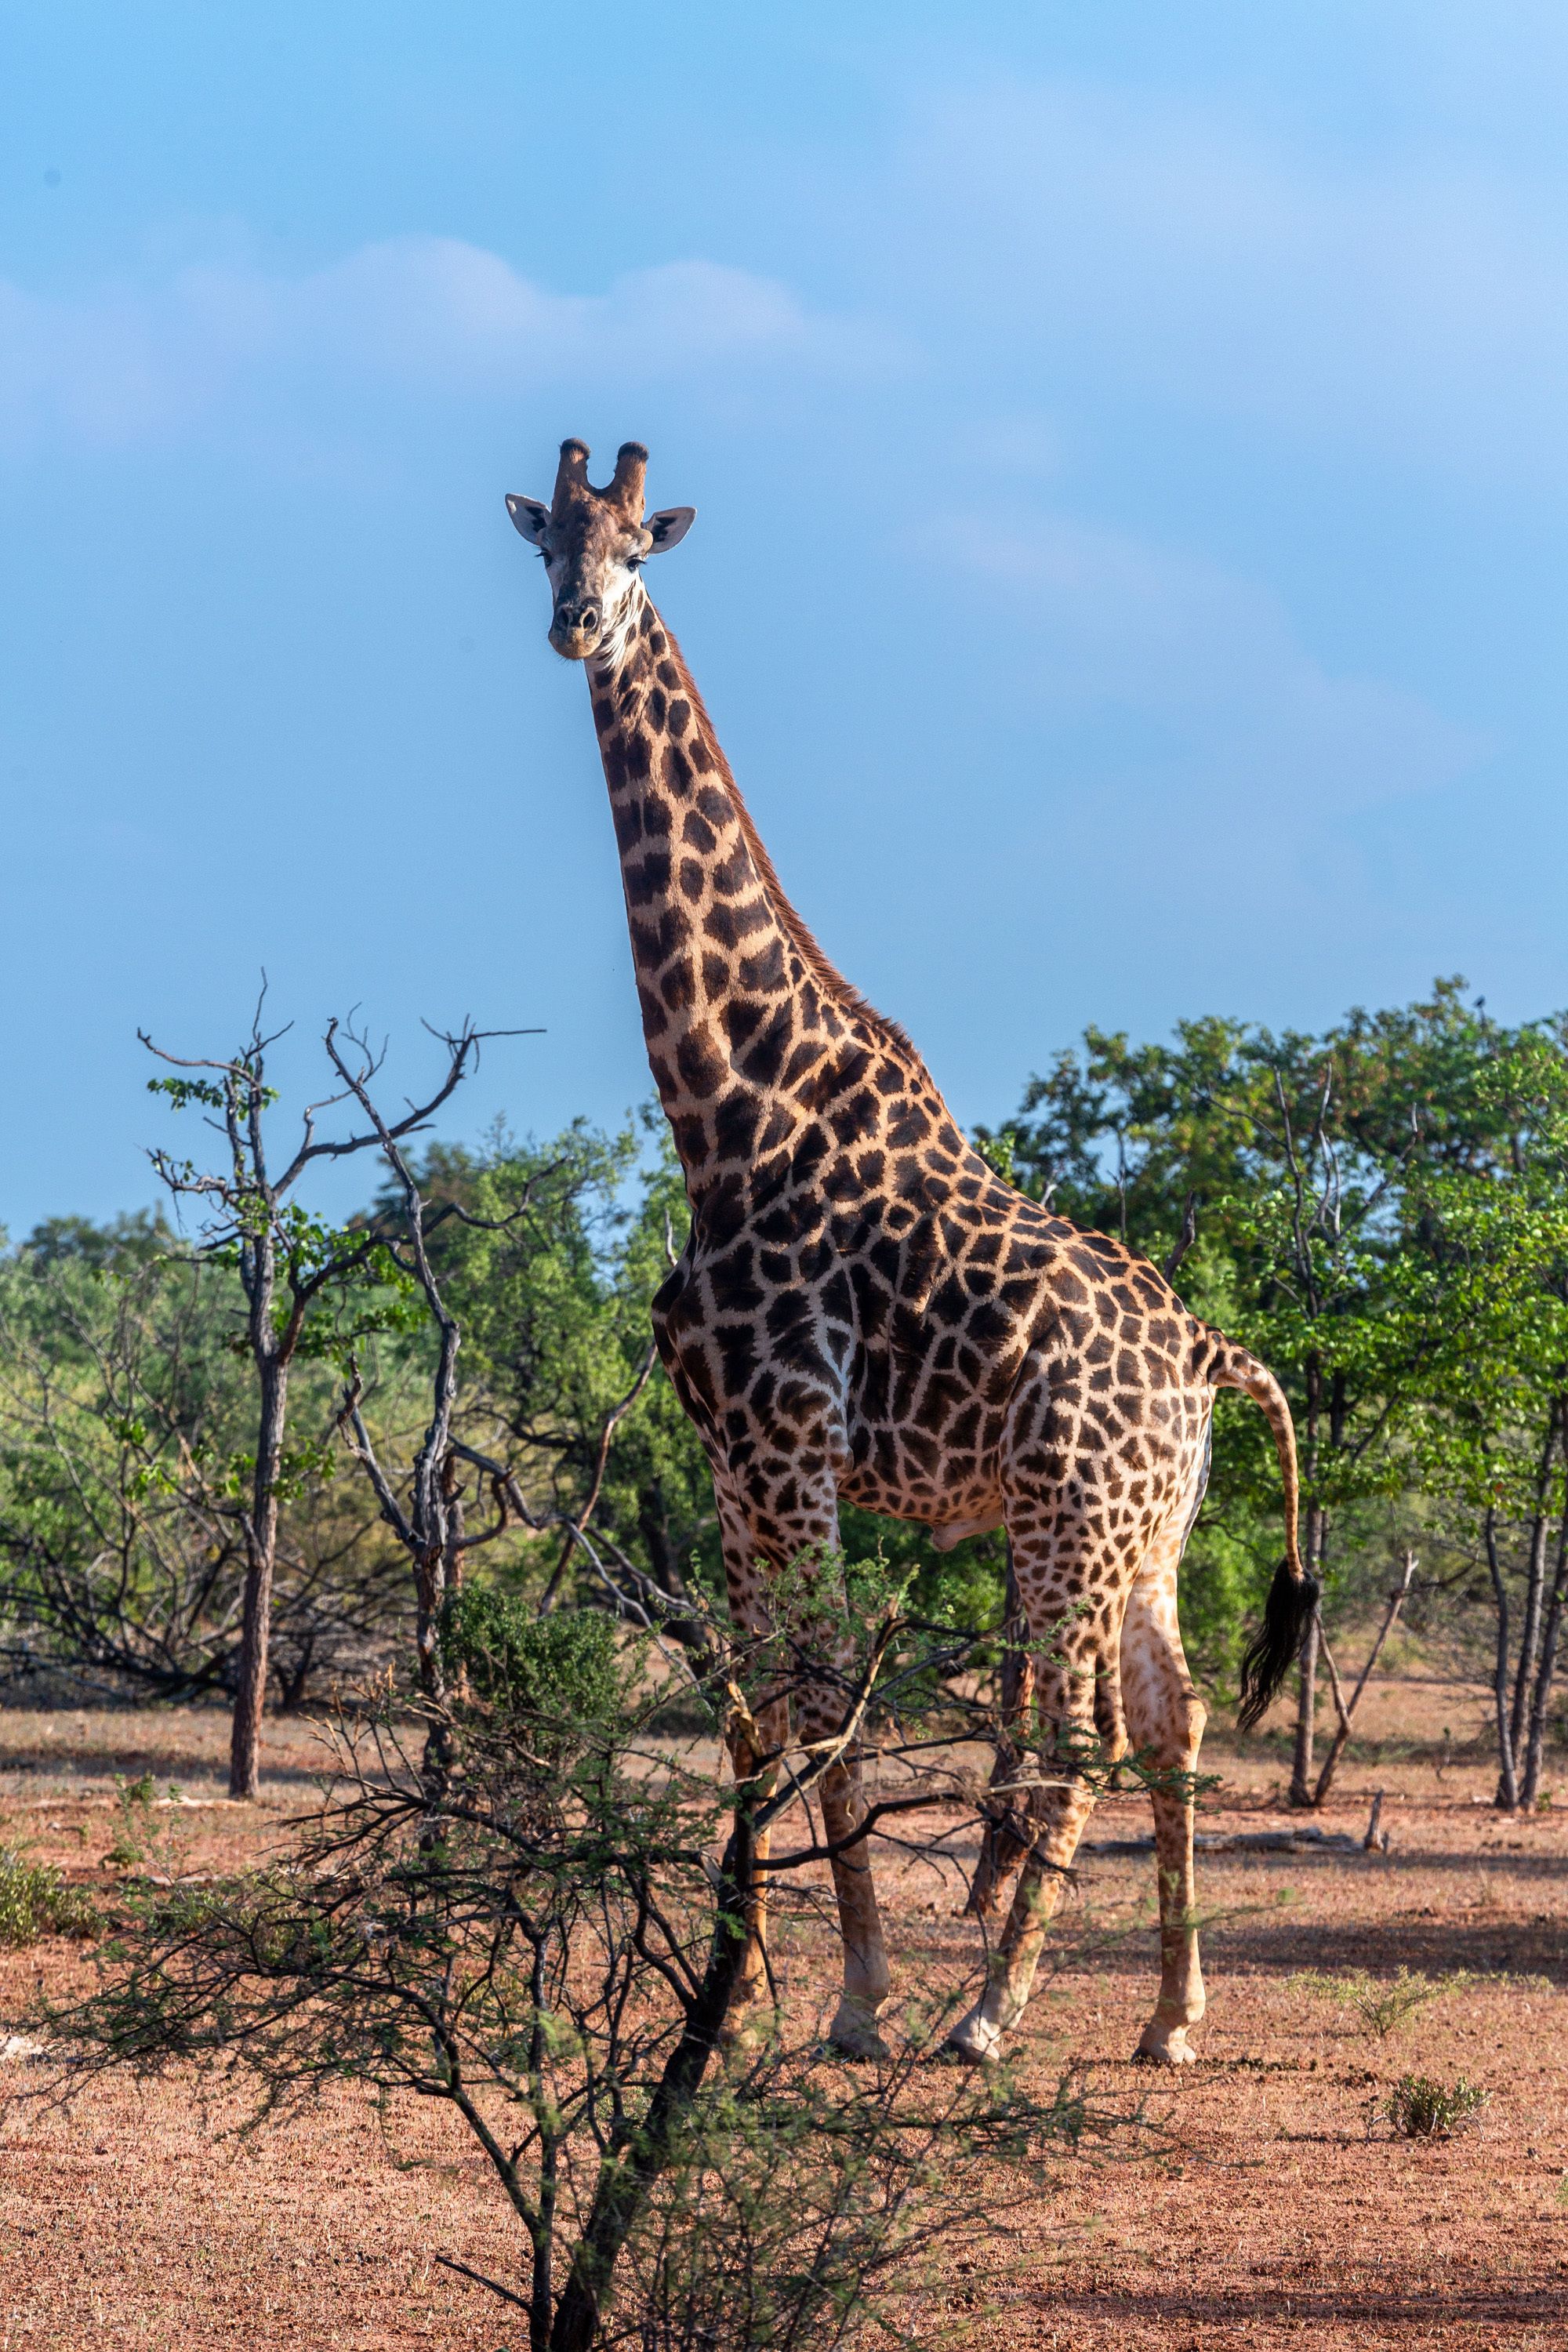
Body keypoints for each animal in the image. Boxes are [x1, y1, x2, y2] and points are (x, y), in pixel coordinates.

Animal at [506, 439, 1317, 2064]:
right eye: (544, 542)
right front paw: (737, 1997)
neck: (724, 1103)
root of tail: (1207, 1350)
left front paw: (861, 2001)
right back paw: (1170, 2016)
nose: (576, 625)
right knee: (1174, 1718)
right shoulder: (726, 1459)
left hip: (1065, 1526)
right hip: (1148, 1536)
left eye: (637, 549)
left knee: (1074, 1735)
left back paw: (990, 2014)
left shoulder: (792, 1449)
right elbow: (752, 1716)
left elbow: (827, 1706)